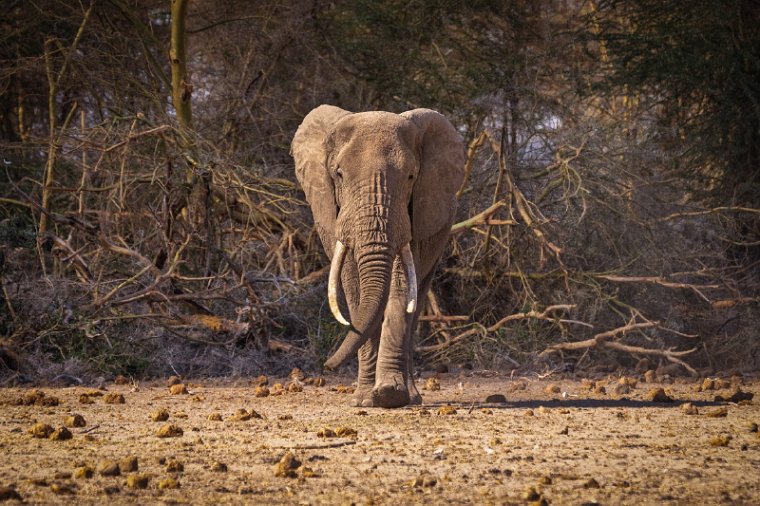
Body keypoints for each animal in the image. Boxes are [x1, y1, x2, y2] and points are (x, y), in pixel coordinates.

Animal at [292, 104, 466, 408]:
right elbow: (352, 285)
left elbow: (400, 286)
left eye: (411, 176)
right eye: (338, 174)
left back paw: (412, 397)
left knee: (417, 299)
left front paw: (389, 395)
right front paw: (364, 400)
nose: (327, 365)